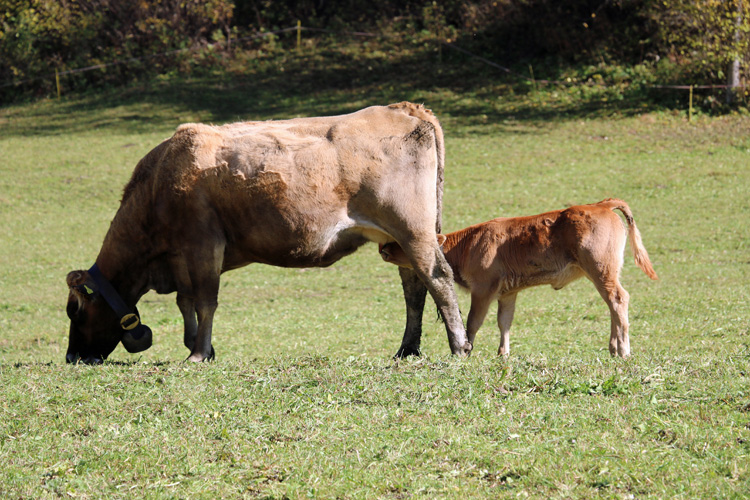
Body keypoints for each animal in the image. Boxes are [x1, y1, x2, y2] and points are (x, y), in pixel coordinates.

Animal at [67, 103, 472, 366]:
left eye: (75, 311)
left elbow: (204, 301)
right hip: (398, 238)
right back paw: (407, 349)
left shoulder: (202, 245)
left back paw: (459, 346)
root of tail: (405, 109)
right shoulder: (182, 258)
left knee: (437, 278)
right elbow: (186, 301)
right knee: (414, 288)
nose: (72, 356)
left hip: (413, 230)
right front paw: (195, 344)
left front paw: (199, 354)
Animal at [382, 197, 656, 358]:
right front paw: (503, 354)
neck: (468, 244)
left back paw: (623, 350)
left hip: (601, 269)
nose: (383, 247)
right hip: (606, 272)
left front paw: (467, 351)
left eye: (403, 242)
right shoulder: (508, 292)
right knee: (612, 304)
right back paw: (613, 348)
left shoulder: (482, 289)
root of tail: (600, 205)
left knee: (619, 299)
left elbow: (473, 322)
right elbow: (504, 322)